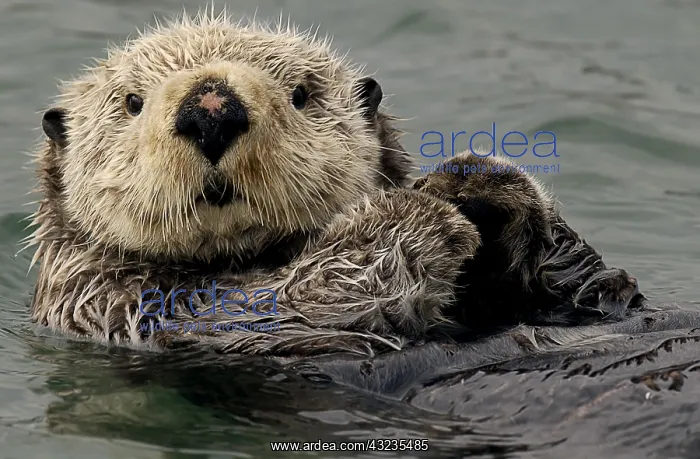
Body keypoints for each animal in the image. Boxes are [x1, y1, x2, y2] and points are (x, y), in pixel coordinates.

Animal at [27, 11, 641, 357]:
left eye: (301, 93)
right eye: (131, 103)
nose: (211, 110)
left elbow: (600, 290)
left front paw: (482, 187)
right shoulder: (123, 304)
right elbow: (289, 300)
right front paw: (422, 217)